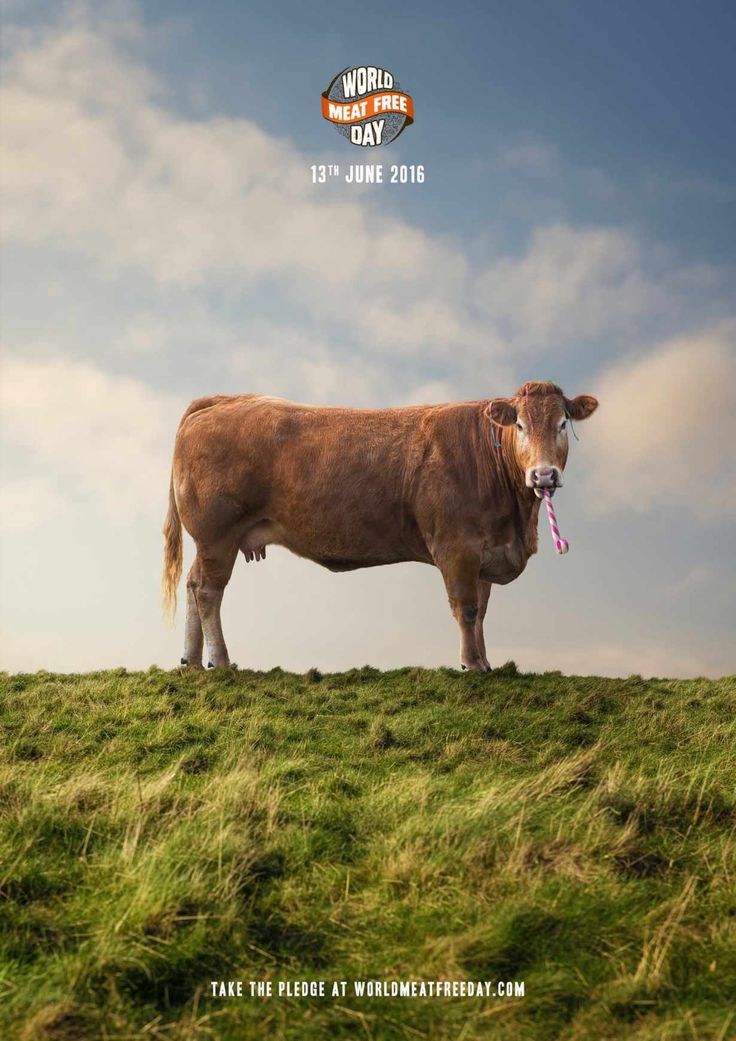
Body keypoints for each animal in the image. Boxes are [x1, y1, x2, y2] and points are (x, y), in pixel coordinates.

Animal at [161, 381, 599, 666]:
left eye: (561, 424)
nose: (543, 475)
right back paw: (220, 661)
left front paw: (486, 662)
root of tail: (224, 400)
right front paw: (472, 665)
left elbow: (483, 611)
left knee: (193, 585)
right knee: (208, 591)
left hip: (213, 541)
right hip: (217, 534)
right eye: (520, 426)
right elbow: (467, 608)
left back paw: (192, 660)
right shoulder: (457, 547)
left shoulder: (486, 550)